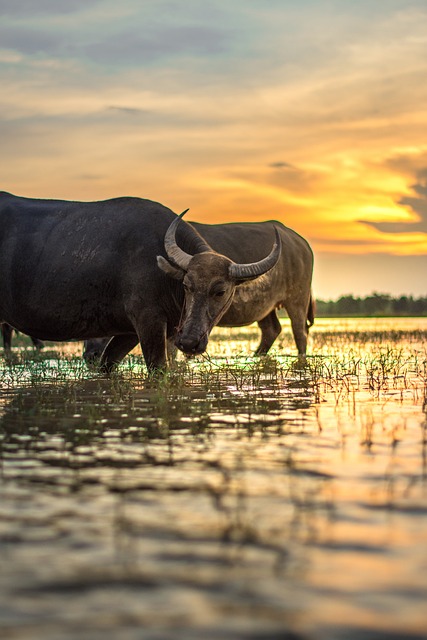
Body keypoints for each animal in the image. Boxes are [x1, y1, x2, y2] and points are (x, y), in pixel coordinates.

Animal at [1, 191, 310, 370]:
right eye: (186, 285)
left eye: (220, 291)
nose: (190, 342)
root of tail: (299, 241)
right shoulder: (148, 323)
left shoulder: (144, 328)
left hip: (296, 302)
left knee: (297, 335)